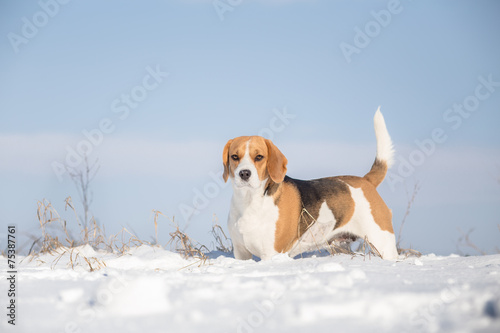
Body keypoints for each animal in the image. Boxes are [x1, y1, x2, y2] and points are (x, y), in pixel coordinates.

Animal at [223, 107, 398, 260]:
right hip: (340, 247)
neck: (249, 200)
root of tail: (366, 180)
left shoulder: (271, 254)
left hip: (383, 243)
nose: (244, 173)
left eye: (259, 157)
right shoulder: (241, 253)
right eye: (234, 157)